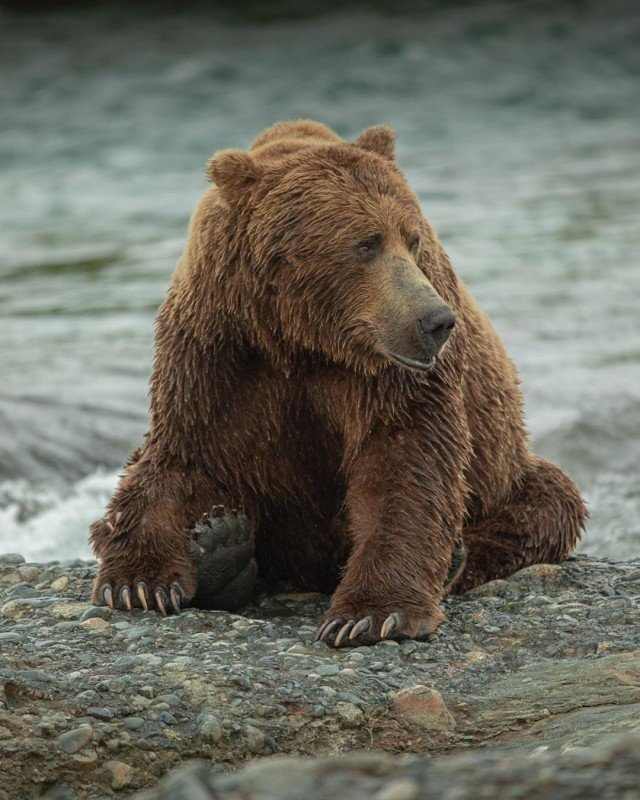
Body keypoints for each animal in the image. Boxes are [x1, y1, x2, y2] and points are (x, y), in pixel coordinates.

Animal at [90, 120, 584, 644]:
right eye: (366, 243)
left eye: (413, 239)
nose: (436, 321)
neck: (301, 335)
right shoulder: (219, 347)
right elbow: (179, 456)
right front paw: (139, 581)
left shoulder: (383, 376)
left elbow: (404, 458)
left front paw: (371, 612)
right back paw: (223, 550)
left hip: (507, 472)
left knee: (549, 502)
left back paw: (455, 557)